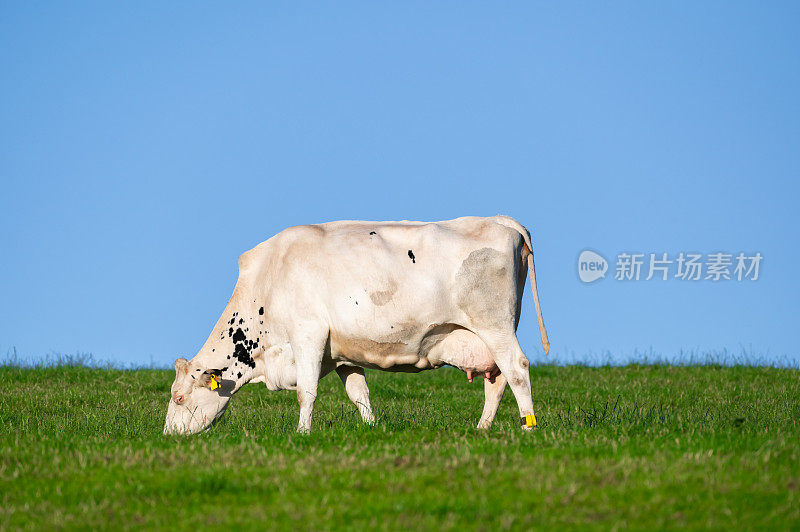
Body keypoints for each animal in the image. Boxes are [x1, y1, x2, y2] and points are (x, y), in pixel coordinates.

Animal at [162, 214, 552, 434]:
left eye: (179, 397)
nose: (168, 437)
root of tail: (501, 219)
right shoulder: (341, 352)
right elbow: (358, 393)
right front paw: (373, 429)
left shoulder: (308, 334)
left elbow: (306, 391)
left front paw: (302, 433)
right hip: (485, 335)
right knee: (497, 379)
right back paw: (482, 428)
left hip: (494, 325)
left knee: (517, 369)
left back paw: (528, 426)